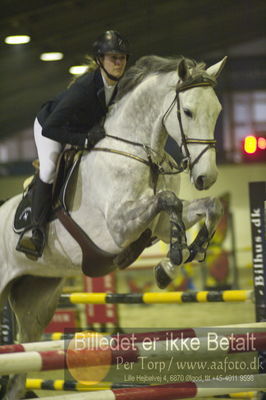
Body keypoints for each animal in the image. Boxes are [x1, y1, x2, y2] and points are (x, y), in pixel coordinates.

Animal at [0, 55, 227, 396]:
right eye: (187, 111)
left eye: (217, 111)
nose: (206, 177)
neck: (139, 152)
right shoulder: (118, 228)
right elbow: (169, 199)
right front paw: (171, 262)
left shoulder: (157, 226)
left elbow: (209, 205)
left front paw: (186, 253)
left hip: (36, 299)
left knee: (18, 372)